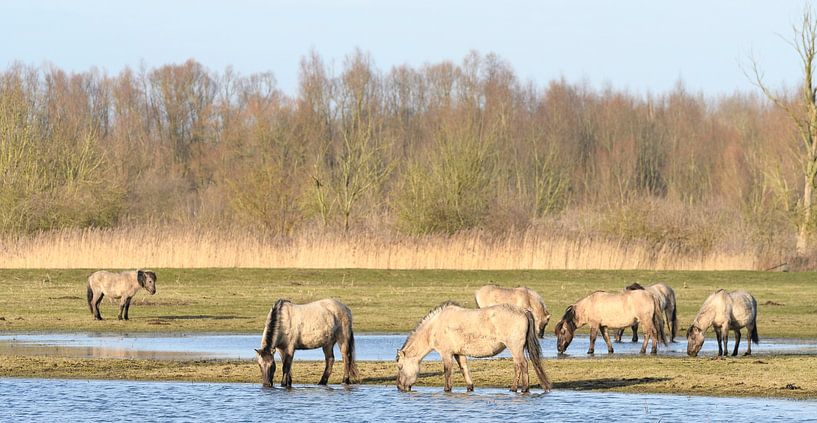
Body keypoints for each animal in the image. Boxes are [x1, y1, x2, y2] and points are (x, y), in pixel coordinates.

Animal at [396, 301, 551, 393]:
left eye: (400, 366)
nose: (399, 386)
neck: (434, 327)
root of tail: (523, 311)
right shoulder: (459, 353)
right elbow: (464, 369)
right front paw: (470, 387)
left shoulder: (446, 353)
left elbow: (447, 371)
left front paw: (447, 389)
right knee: (519, 365)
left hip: (515, 348)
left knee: (521, 365)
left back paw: (520, 388)